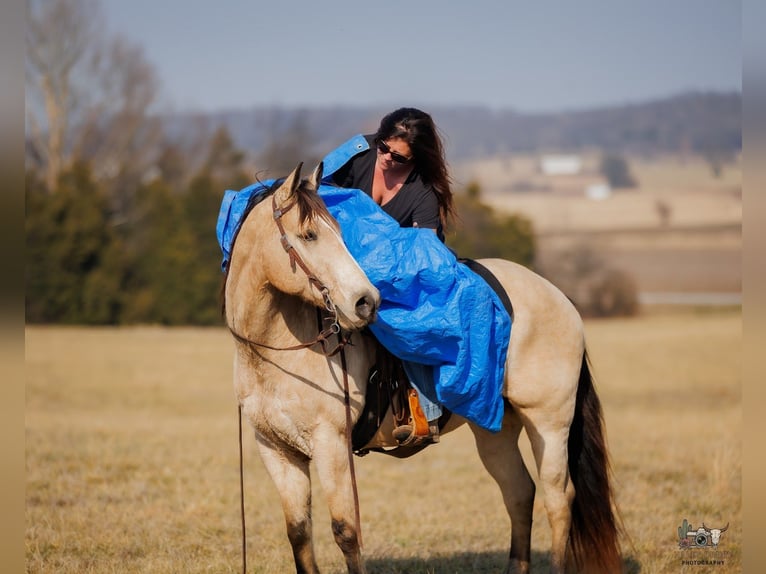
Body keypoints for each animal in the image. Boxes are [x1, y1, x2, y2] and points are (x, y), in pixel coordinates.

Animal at [222, 162, 623, 574]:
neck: (275, 354)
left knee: (558, 500)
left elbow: (345, 532)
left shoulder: (331, 445)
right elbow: (299, 534)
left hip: (549, 423)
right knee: (519, 492)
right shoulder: (276, 450)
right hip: (494, 428)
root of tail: (561, 299)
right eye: (309, 234)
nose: (366, 302)